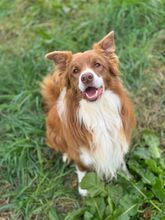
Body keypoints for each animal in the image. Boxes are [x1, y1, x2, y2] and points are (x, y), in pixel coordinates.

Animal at [41, 31, 135, 196]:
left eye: (97, 65)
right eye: (75, 71)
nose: (86, 77)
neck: (98, 109)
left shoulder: (118, 137)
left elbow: (120, 159)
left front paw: (127, 177)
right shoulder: (81, 150)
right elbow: (82, 167)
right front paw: (84, 189)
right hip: (54, 133)